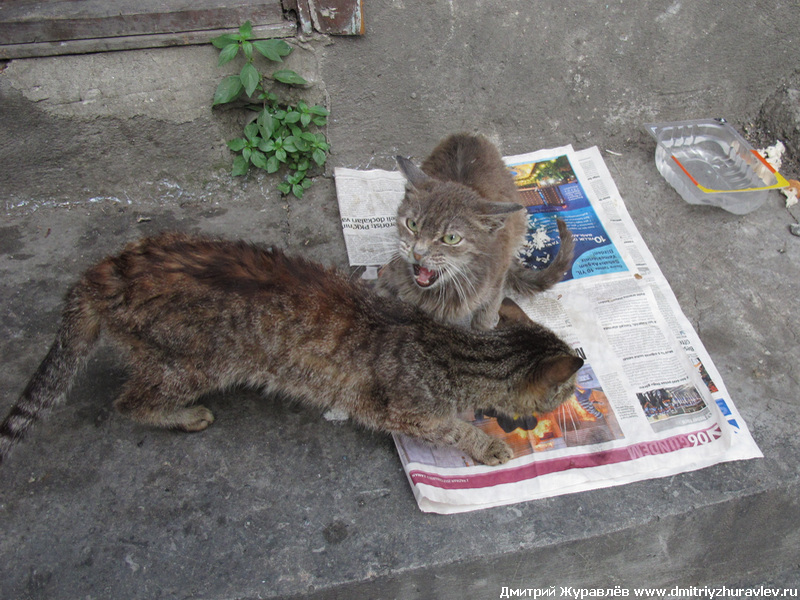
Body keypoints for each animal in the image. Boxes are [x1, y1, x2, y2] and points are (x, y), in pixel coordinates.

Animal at [0, 232, 580, 466]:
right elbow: (452, 427)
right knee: (130, 402)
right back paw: (183, 416)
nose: (575, 395)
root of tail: (103, 273)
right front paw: (486, 444)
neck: (455, 351)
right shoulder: (405, 413)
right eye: (569, 388)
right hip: (192, 363)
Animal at [376, 132, 576, 328]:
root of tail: (468, 135)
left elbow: (483, 321)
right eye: (412, 224)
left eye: (451, 238)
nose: (418, 253)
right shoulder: (389, 279)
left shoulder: (494, 289)